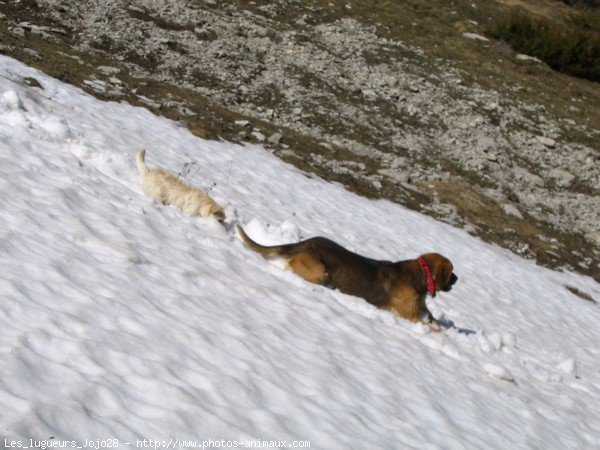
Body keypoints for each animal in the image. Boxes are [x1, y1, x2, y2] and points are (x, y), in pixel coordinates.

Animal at [237, 227, 458, 328]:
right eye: (451, 271)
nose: (457, 279)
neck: (421, 277)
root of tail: (300, 244)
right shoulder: (409, 315)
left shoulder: (421, 309)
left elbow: (433, 320)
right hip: (319, 270)